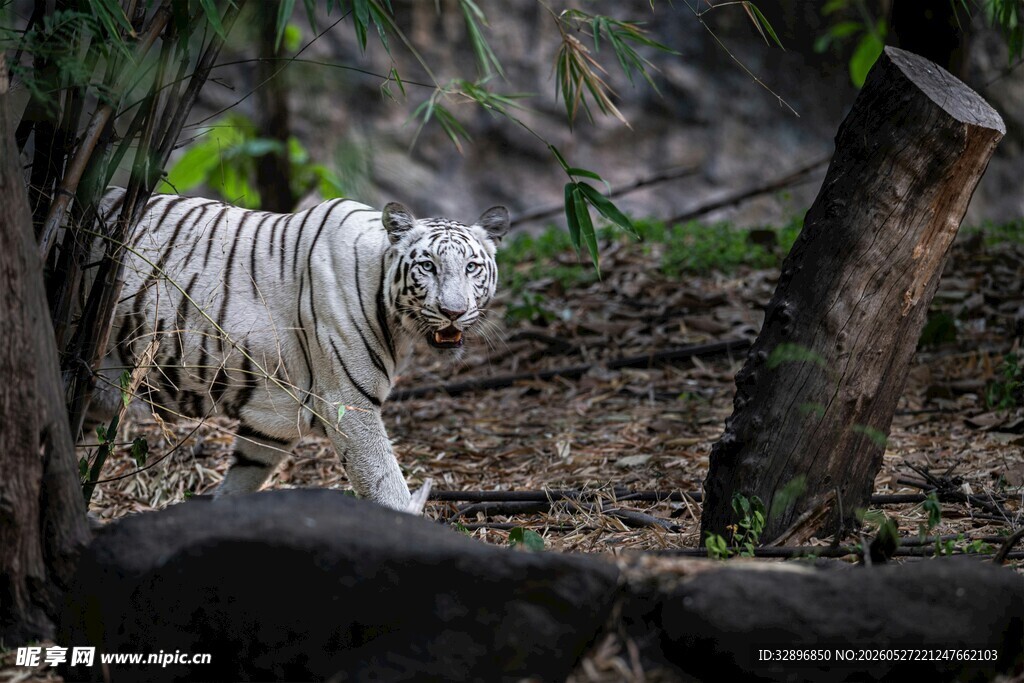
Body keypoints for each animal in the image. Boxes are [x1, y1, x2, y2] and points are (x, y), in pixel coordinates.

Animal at [88, 189, 508, 512]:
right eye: (428, 266)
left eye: (471, 267)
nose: (453, 312)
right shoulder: (348, 405)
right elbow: (384, 482)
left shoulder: (272, 421)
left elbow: (242, 478)